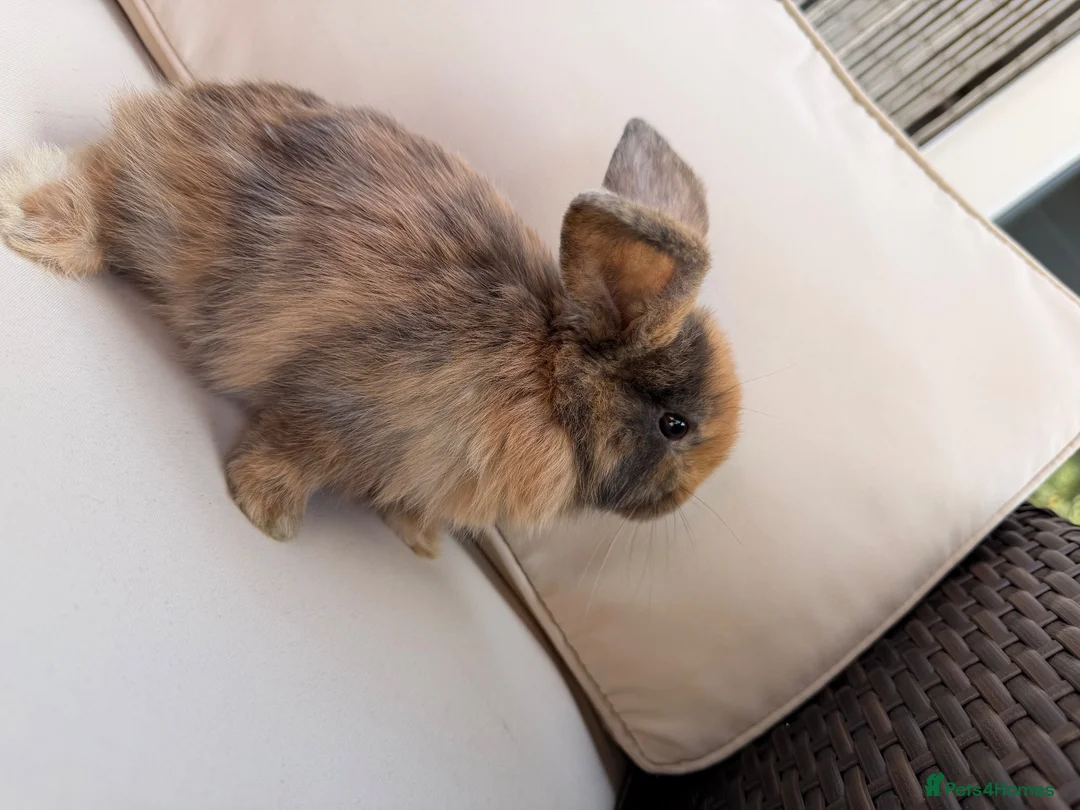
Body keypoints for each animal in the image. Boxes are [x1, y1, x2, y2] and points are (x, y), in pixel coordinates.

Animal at [0, 81, 740, 558]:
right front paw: (268, 514)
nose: (674, 503)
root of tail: (172, 105)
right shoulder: (348, 409)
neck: (548, 379)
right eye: (675, 426)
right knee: (97, 185)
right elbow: (297, 449)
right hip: (159, 213)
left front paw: (421, 543)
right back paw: (35, 223)